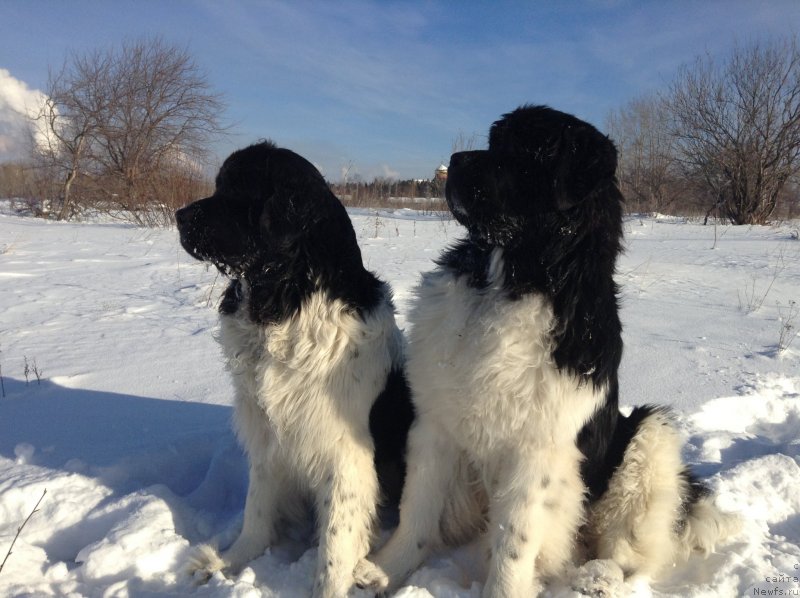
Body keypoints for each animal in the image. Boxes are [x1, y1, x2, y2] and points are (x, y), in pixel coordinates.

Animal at [175, 143, 412, 596]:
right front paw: (227, 562)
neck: (287, 300)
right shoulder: (269, 435)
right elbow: (256, 512)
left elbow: (335, 545)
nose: (178, 215)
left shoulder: (346, 456)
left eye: (237, 189)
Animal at [368, 105, 736, 596]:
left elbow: (514, 541)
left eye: (528, 152)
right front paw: (384, 570)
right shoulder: (435, 424)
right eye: (494, 140)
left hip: (648, 438)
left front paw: (503, 590)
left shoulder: (535, 451)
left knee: (627, 552)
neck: (510, 282)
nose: (455, 160)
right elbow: (418, 509)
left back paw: (599, 579)